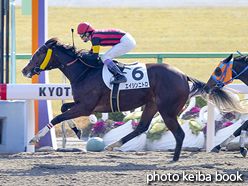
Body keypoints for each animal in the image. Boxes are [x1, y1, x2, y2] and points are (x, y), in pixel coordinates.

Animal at [21, 37, 238, 161]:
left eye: (39, 52)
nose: (24, 70)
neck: (85, 72)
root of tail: (184, 76)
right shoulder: (83, 104)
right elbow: (63, 109)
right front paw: (77, 131)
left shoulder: (87, 106)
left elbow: (57, 117)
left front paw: (35, 138)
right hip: (152, 104)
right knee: (142, 127)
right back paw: (114, 144)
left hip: (167, 110)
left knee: (179, 134)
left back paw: (174, 159)